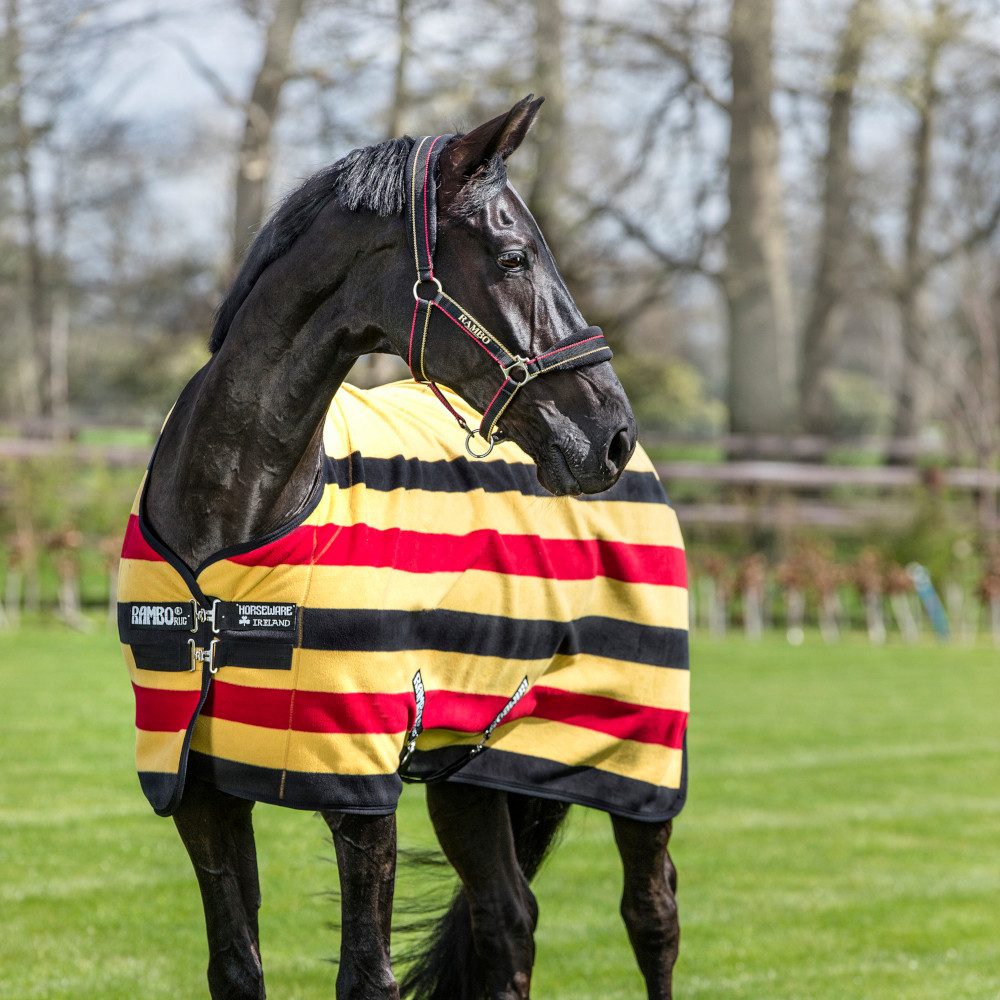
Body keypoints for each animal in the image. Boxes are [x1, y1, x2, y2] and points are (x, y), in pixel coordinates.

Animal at [118, 96, 685, 1000]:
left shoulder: (359, 791)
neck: (233, 521)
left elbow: (366, 975)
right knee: (508, 921)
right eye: (514, 256)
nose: (610, 434)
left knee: (651, 914)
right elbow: (236, 966)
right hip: (472, 772)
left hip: (639, 757)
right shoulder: (201, 786)